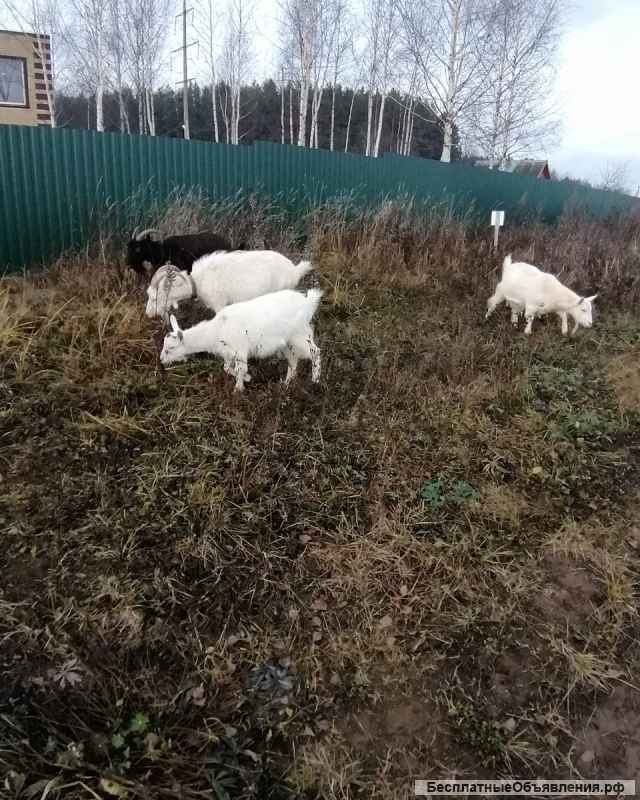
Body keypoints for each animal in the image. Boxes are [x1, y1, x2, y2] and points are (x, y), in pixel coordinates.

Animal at [160, 289, 323, 392]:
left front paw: (238, 389)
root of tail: (308, 302)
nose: (161, 360)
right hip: (287, 343)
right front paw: (248, 378)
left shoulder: (240, 351)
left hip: (300, 335)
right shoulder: (228, 353)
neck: (216, 330)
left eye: (171, 348)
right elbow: (226, 368)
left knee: (315, 352)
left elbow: (240, 369)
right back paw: (287, 383)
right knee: (293, 361)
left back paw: (315, 381)